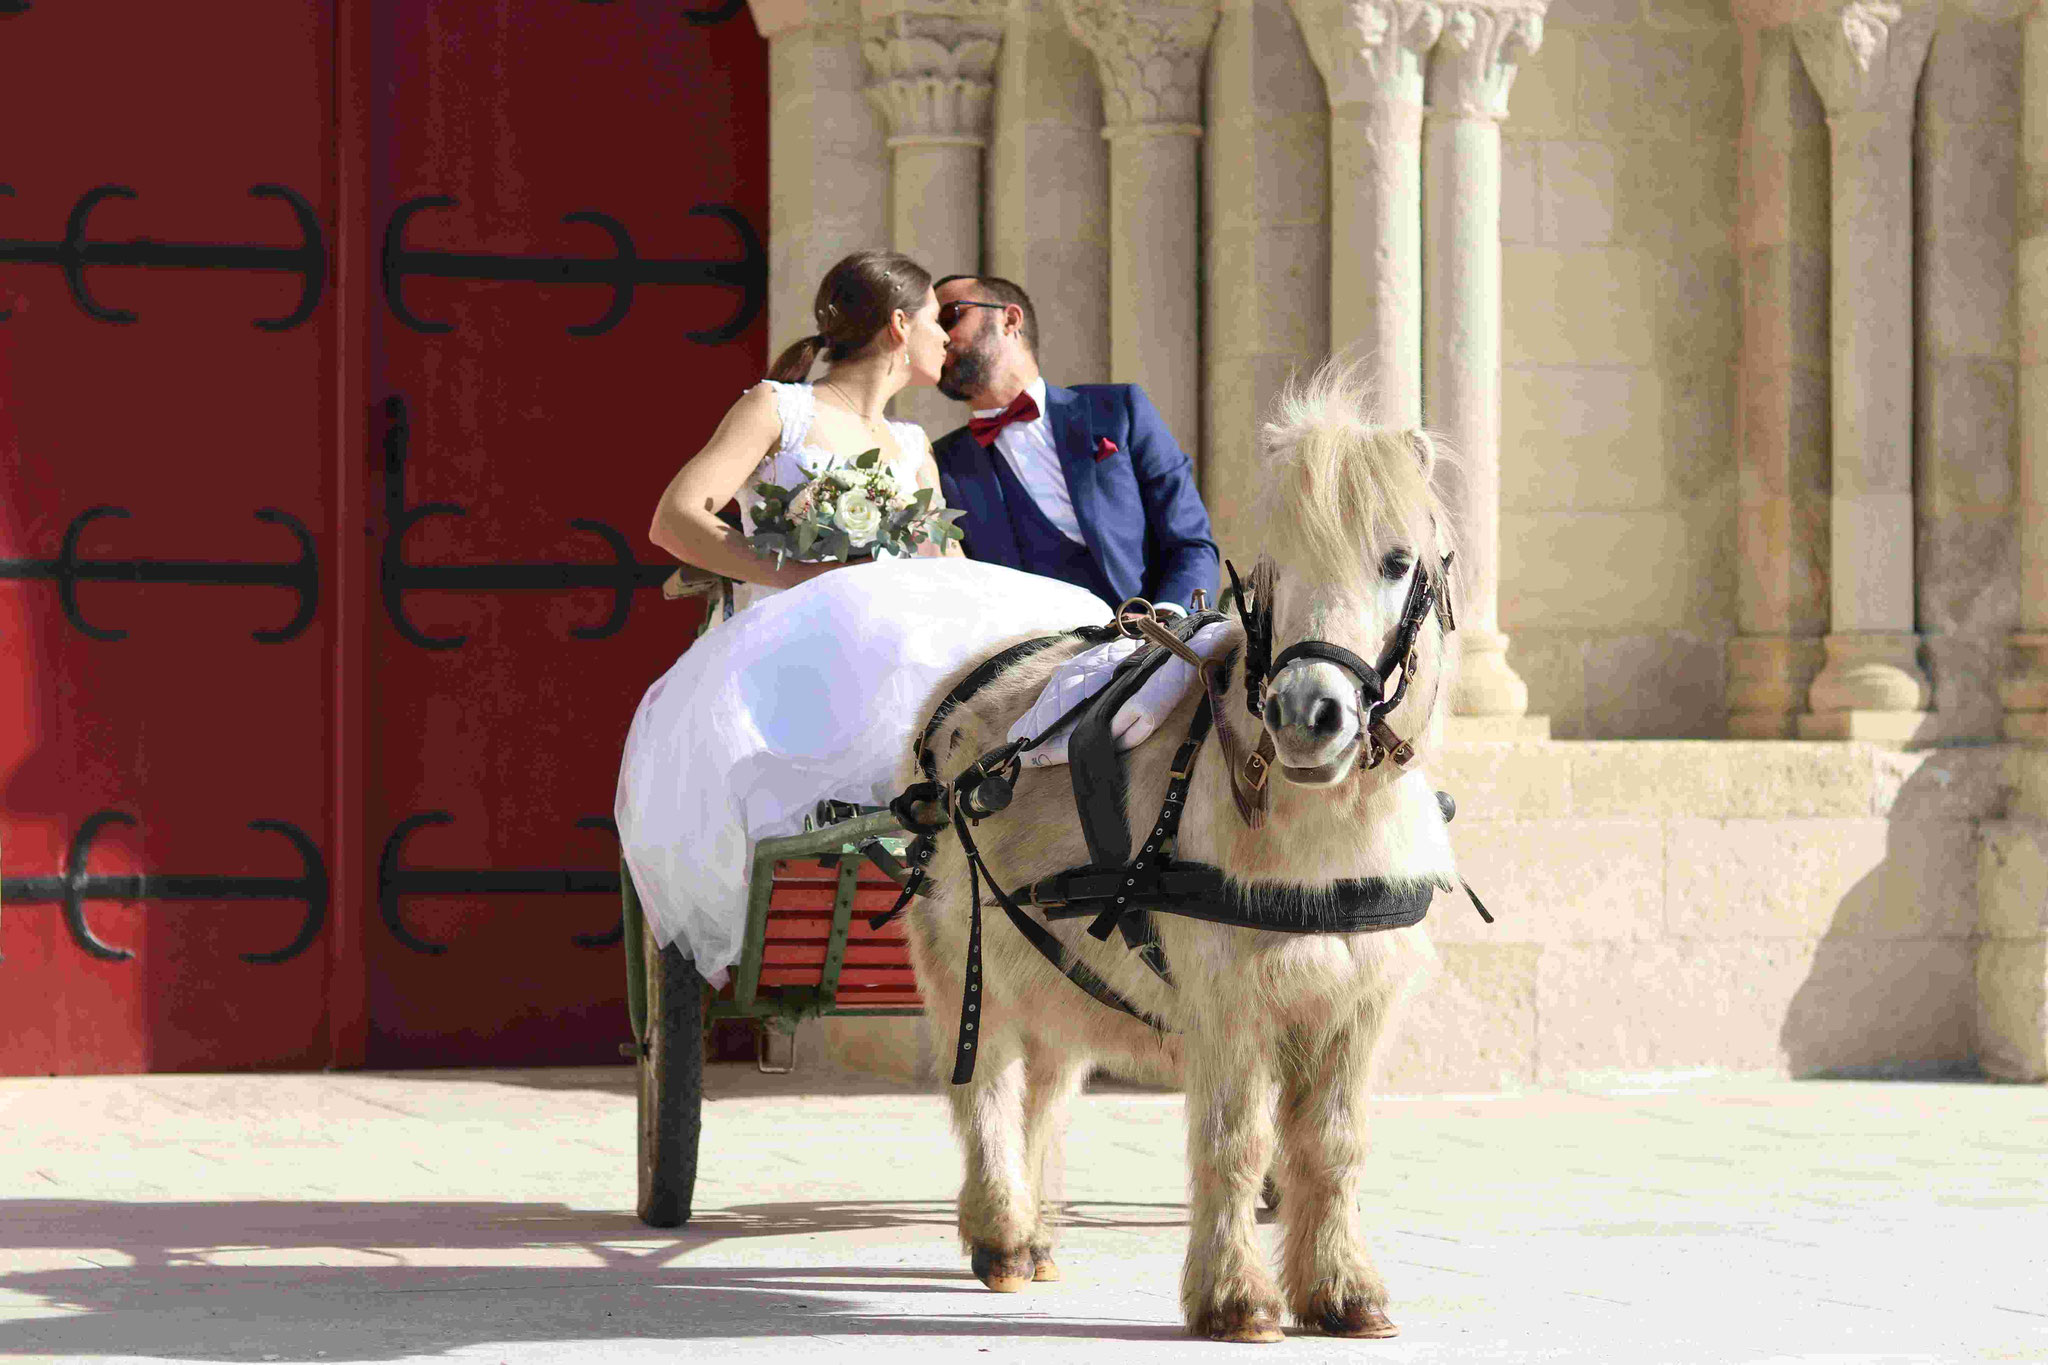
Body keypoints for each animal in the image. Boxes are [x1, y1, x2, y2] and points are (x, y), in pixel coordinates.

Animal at [905, 362, 1466, 1342]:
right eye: (1273, 569)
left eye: (1397, 561)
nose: (1307, 715)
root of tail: (967, 687)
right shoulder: (1228, 1000)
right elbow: (1235, 1142)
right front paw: (1235, 1295)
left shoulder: (1356, 1002)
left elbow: (1332, 1146)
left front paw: (1342, 1287)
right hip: (964, 959)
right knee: (987, 1094)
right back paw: (1002, 1231)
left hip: (1054, 970)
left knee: (1043, 1092)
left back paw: (1034, 1233)